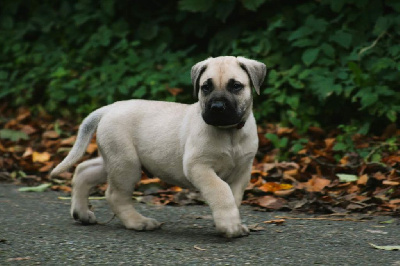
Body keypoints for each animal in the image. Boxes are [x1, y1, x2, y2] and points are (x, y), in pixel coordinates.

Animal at [51, 55, 268, 237]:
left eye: (236, 86)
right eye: (206, 87)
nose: (217, 107)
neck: (229, 132)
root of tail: (109, 108)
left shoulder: (242, 171)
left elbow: (234, 196)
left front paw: (234, 223)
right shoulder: (199, 167)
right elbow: (221, 191)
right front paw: (229, 225)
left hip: (114, 159)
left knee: (84, 170)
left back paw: (81, 213)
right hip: (126, 164)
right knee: (114, 195)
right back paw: (138, 222)